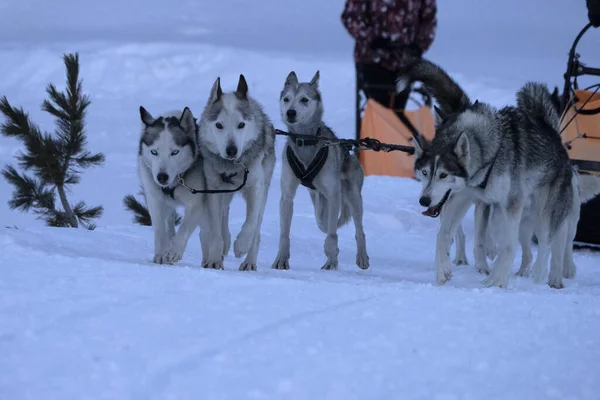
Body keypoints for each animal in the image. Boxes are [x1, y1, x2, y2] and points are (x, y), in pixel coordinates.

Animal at [137, 105, 212, 266]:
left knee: (206, 232)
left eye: (175, 152)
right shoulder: (154, 200)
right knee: (170, 223)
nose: (162, 177)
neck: (175, 183)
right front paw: (161, 253)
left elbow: (184, 229)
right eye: (154, 152)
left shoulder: (196, 203)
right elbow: (159, 228)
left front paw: (174, 251)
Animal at [196, 73, 276, 270]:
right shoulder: (214, 189)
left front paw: (241, 245)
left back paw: (249, 262)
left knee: (257, 229)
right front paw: (215, 259)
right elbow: (216, 229)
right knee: (223, 215)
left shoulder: (256, 187)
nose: (231, 150)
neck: (232, 166)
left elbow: (251, 222)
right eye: (219, 125)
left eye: (241, 125)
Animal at [274, 72, 370, 272]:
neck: (305, 141)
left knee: (359, 230)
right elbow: (284, 233)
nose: (290, 112)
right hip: (318, 199)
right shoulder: (286, 197)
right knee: (322, 222)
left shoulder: (334, 196)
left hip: (353, 197)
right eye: (286, 99)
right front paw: (281, 259)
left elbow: (332, 235)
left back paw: (362, 257)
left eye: (304, 99)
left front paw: (331, 260)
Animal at [400, 58, 596, 288]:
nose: (424, 200)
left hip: (546, 212)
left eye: (443, 175)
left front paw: (498, 280)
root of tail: (554, 136)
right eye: (424, 172)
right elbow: (444, 235)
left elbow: (508, 246)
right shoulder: (463, 198)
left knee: (549, 243)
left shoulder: (511, 204)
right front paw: (443, 270)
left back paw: (545, 275)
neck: (489, 151)